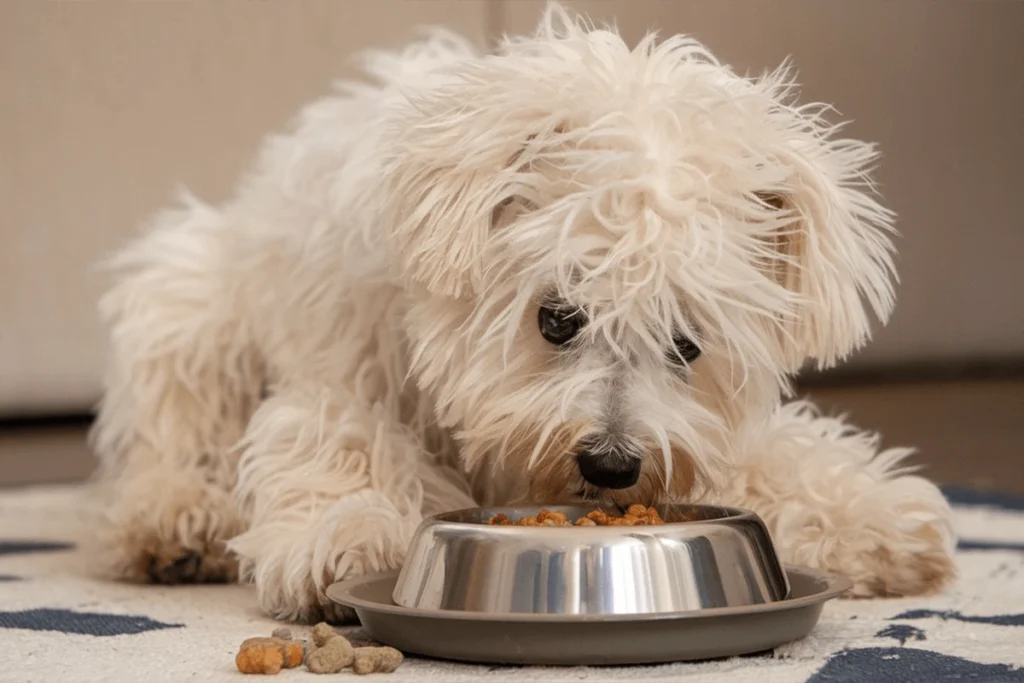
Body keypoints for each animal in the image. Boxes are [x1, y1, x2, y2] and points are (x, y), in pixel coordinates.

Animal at [90, 3, 958, 626]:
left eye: (687, 343)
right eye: (558, 317)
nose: (611, 464)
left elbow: (769, 454)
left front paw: (876, 519)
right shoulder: (337, 377)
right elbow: (341, 437)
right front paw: (350, 535)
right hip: (188, 302)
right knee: (166, 438)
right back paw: (172, 523)